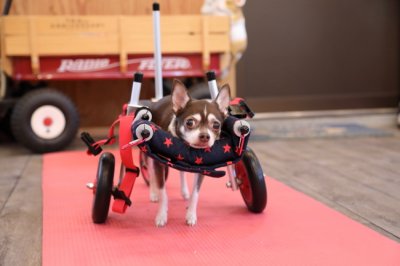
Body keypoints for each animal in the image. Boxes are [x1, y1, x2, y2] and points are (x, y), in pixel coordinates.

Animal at [145, 79, 230, 227]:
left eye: (216, 125)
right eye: (190, 122)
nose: (205, 136)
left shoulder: (201, 169)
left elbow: (195, 194)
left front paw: (191, 214)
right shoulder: (158, 164)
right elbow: (163, 192)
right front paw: (161, 215)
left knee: (182, 172)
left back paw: (184, 191)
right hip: (150, 155)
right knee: (150, 171)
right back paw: (153, 192)